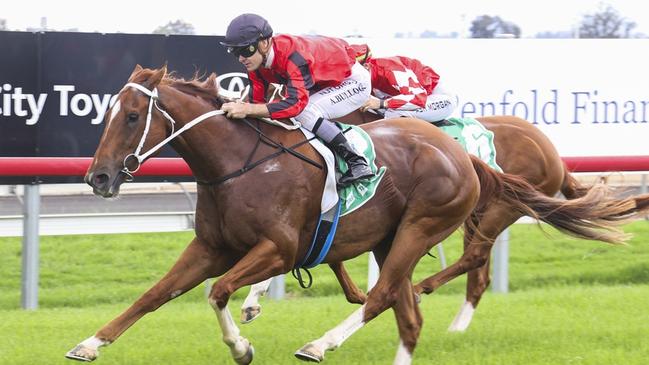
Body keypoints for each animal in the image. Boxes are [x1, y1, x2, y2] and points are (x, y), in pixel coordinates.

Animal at [67, 66, 648, 364]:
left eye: (134, 115)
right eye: (107, 112)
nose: (98, 178)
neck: (239, 164)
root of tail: (466, 157)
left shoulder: (277, 248)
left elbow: (219, 291)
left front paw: (242, 344)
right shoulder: (211, 246)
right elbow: (154, 295)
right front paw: (89, 343)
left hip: (439, 222)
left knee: (400, 290)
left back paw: (324, 341)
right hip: (398, 236)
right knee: (409, 312)